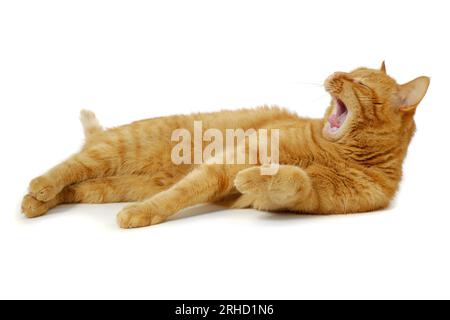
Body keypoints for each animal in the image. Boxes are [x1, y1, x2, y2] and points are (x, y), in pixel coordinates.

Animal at [21, 62, 428, 228]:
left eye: (359, 82)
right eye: (349, 71)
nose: (333, 75)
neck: (339, 152)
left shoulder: (309, 199)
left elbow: (295, 179)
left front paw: (255, 179)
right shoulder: (235, 156)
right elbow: (182, 193)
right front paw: (144, 213)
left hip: (114, 186)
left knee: (76, 187)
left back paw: (36, 203)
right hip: (119, 149)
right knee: (69, 167)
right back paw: (38, 189)